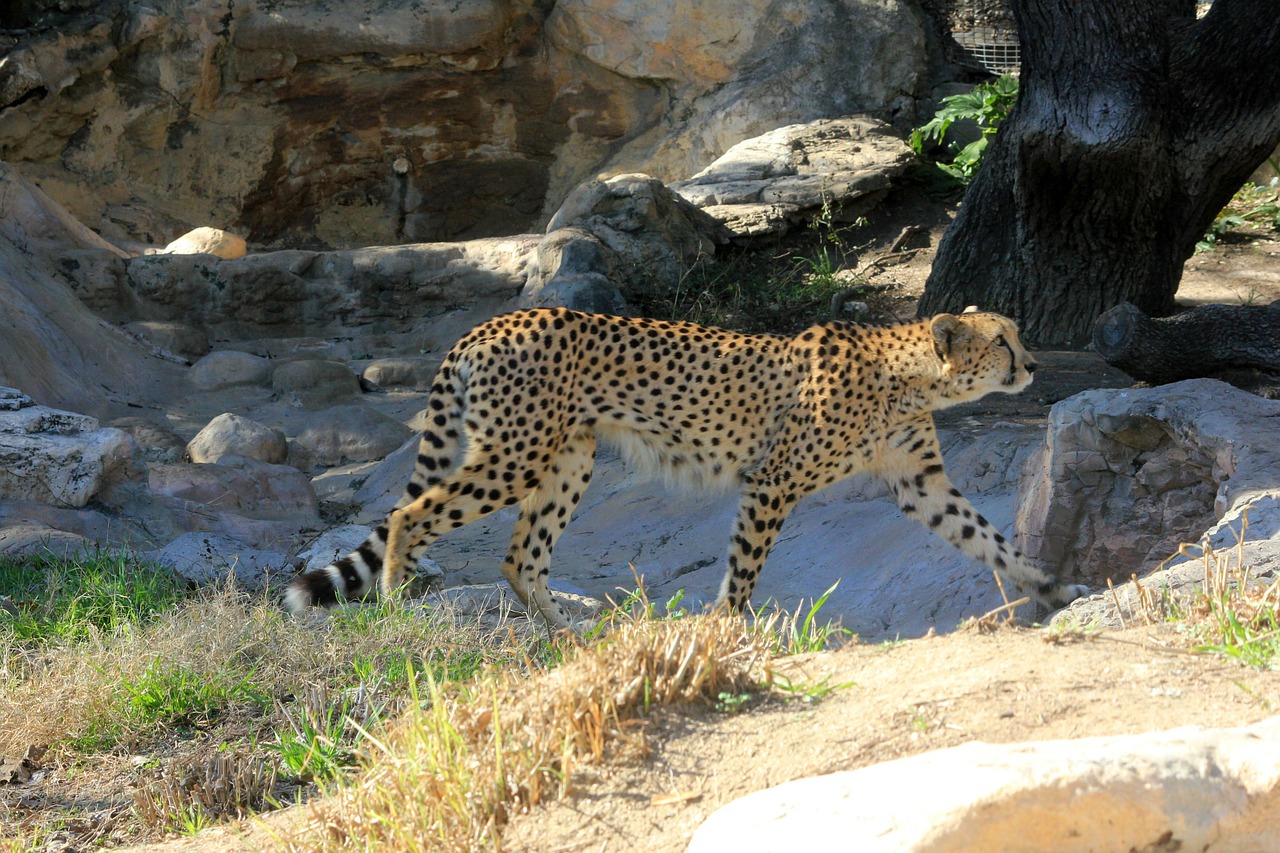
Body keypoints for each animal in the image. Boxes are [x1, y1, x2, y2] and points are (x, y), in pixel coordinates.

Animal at [285, 306, 1085, 625]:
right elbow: (744, 568)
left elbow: (988, 538)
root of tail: (493, 321)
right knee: (408, 513)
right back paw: (396, 606)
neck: (912, 374)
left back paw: (570, 640)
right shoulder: (774, 481)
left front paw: (1052, 587)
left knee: (520, 557)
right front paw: (728, 631)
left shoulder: (920, 485)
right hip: (515, 456)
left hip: (567, 459)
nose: (1034, 365)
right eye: (1003, 341)